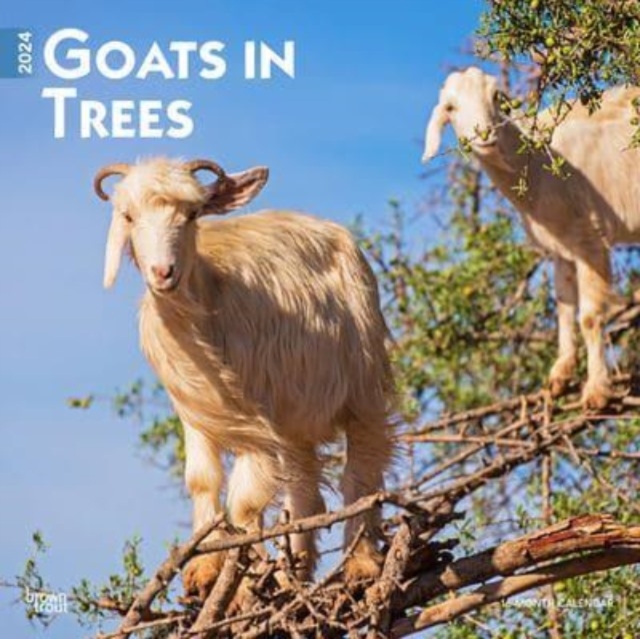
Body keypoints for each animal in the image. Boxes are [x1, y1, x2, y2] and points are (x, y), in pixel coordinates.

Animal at [93, 157, 394, 598]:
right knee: (304, 491)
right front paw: (204, 572)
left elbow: (246, 501)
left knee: (362, 469)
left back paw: (360, 563)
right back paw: (293, 574)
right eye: (128, 216)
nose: (163, 272)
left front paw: (237, 588)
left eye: (193, 213)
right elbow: (202, 480)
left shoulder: (258, 411)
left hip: (363, 381)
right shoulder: (196, 409)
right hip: (295, 420)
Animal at [422, 66, 640, 409]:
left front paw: (596, 390)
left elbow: (590, 317)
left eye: (495, 97)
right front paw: (559, 376)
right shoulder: (562, 245)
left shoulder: (589, 239)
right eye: (450, 108)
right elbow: (564, 307)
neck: (537, 165)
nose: (485, 135)